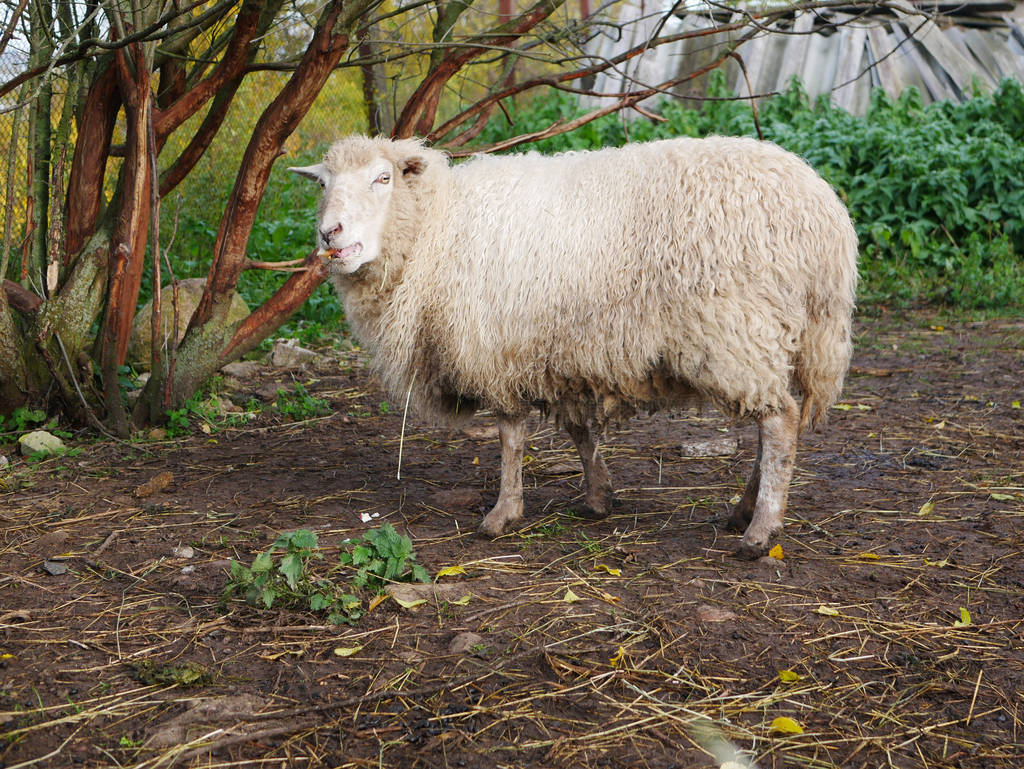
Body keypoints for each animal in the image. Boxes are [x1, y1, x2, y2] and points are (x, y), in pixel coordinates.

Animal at [292, 135, 860, 557]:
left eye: (382, 178)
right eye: (321, 184)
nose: (329, 234)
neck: (437, 228)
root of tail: (823, 217)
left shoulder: (496, 347)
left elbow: (510, 436)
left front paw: (502, 513)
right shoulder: (564, 354)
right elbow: (580, 432)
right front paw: (597, 498)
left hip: (736, 331)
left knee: (779, 424)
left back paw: (760, 532)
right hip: (767, 334)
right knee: (775, 425)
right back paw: (745, 511)